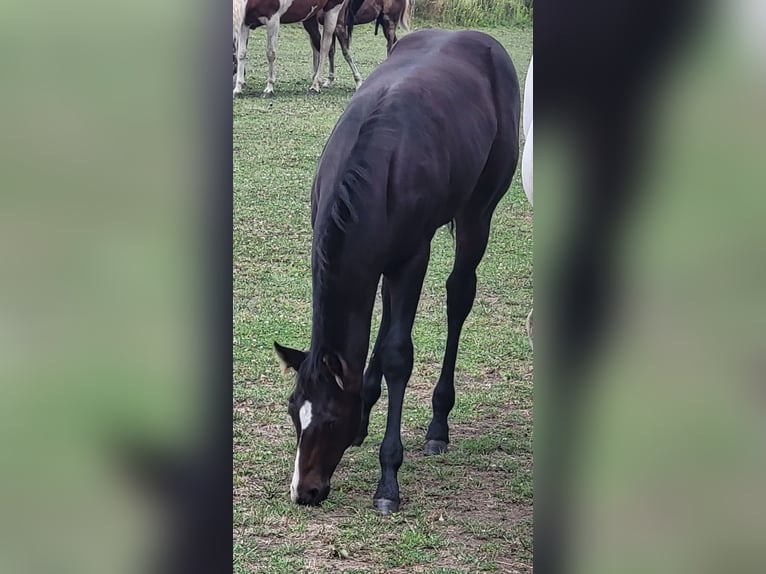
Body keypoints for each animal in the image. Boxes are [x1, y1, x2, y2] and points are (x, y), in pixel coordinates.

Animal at [274, 29, 520, 514]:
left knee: (459, 295)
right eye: (294, 412)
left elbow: (397, 354)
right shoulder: (377, 260)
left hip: (476, 213)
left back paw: (438, 425)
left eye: (329, 420)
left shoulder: (412, 257)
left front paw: (388, 479)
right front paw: (365, 414)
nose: (304, 491)